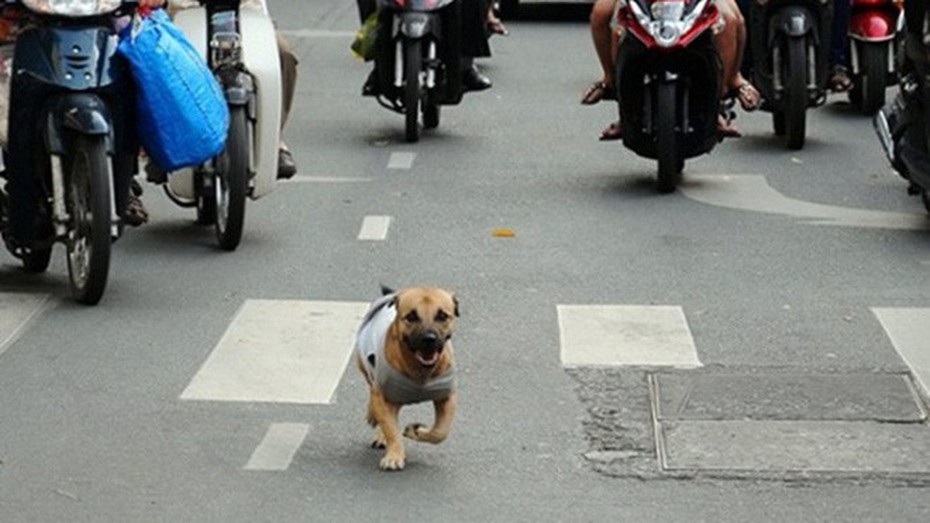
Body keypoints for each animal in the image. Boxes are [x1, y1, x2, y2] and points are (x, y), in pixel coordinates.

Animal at [354, 286, 458, 470]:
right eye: (411, 317)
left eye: (442, 316)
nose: (428, 339)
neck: (420, 372)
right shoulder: (383, 395)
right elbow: (391, 429)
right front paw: (394, 456)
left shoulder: (447, 397)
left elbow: (440, 431)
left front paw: (416, 431)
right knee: (373, 391)